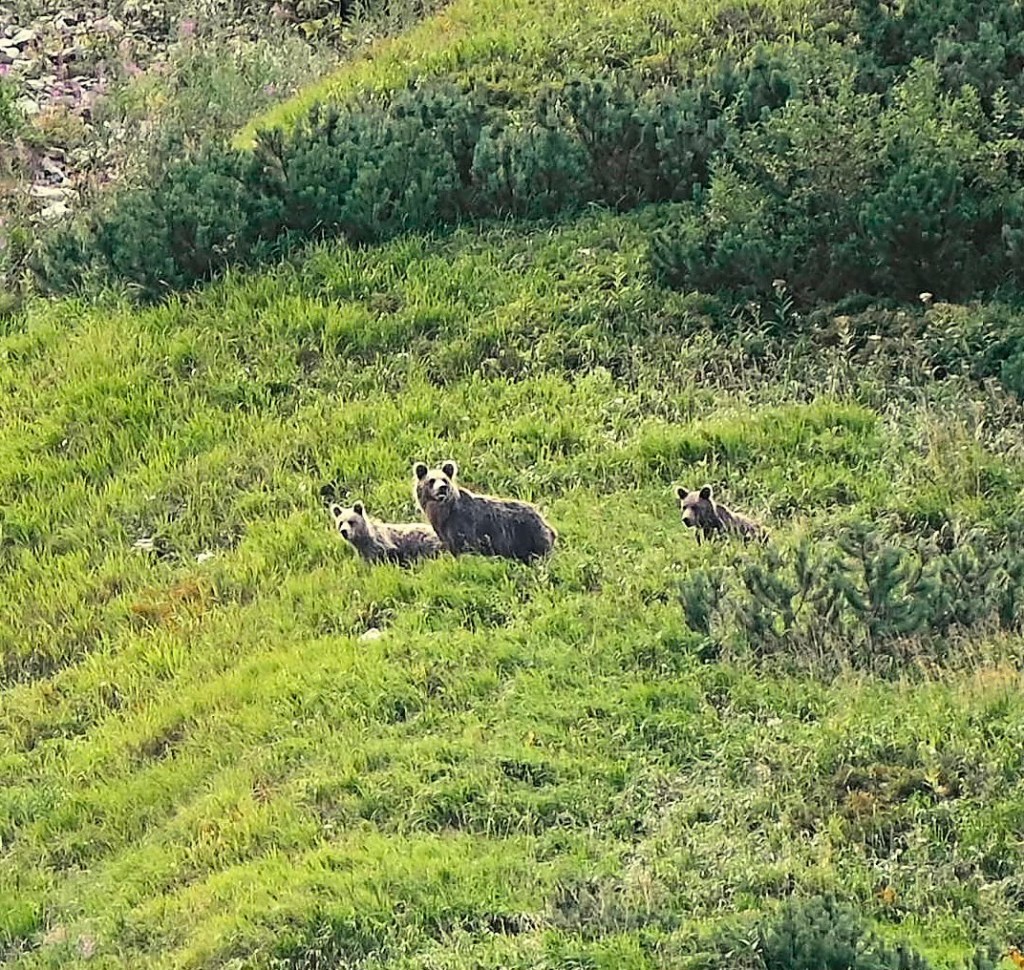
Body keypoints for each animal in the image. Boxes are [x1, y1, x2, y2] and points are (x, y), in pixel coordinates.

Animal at [413, 460, 556, 563]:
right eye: (431, 481)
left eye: (444, 480)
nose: (442, 488)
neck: (442, 513)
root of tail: (545, 521)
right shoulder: (444, 533)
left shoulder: (463, 526)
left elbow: (465, 548)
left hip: (529, 536)